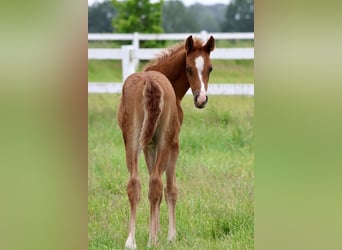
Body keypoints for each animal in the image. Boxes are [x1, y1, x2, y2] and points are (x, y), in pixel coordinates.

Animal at [117, 34, 214, 248]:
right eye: (188, 68)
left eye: (210, 68)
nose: (201, 99)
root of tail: (150, 83)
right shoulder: (173, 144)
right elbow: (170, 189)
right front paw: (169, 235)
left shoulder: (148, 146)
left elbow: (155, 188)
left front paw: (156, 230)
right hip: (164, 141)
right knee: (155, 183)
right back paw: (152, 241)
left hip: (132, 140)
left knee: (135, 184)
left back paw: (131, 241)